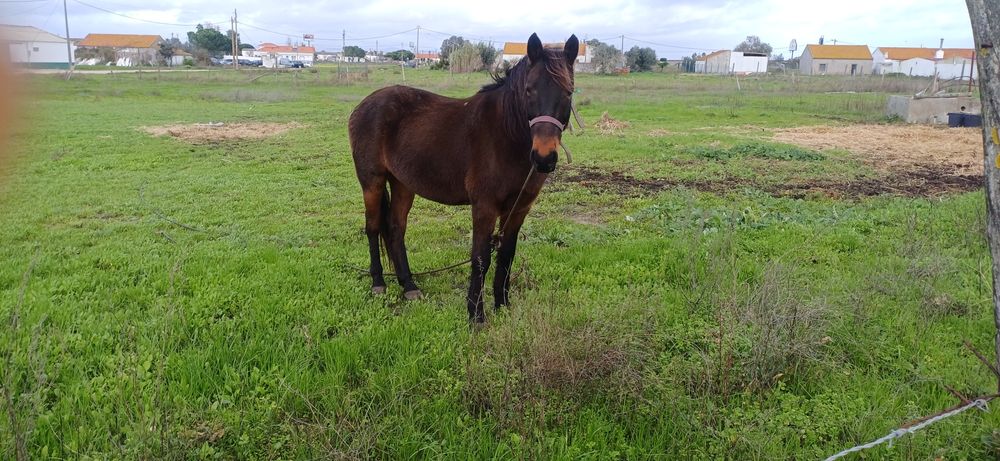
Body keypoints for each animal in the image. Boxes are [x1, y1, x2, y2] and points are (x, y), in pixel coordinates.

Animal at [349, 33, 578, 323]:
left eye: (568, 92)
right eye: (529, 90)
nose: (544, 157)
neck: (506, 135)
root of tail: (364, 104)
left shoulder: (518, 209)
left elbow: (506, 255)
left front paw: (503, 306)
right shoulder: (484, 207)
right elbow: (480, 259)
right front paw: (476, 316)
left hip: (403, 184)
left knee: (395, 228)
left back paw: (409, 286)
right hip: (372, 181)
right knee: (373, 227)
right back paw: (378, 283)